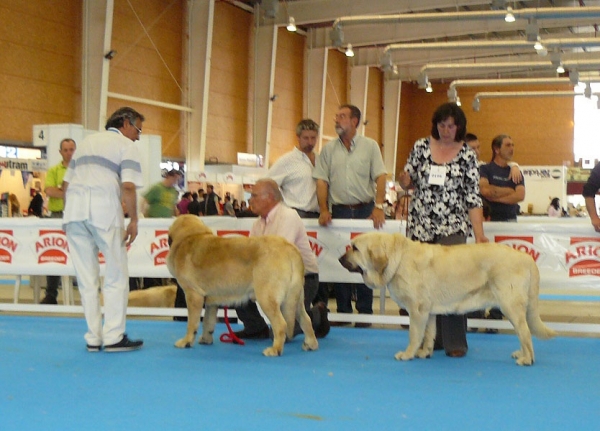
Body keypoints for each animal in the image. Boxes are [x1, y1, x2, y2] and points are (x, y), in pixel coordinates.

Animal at [164, 216, 318, 358]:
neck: (190, 237)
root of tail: (289, 248)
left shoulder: (193, 295)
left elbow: (192, 322)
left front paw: (187, 341)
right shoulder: (211, 302)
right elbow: (208, 322)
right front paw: (205, 339)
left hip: (267, 298)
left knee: (281, 324)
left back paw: (275, 350)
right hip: (295, 299)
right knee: (306, 319)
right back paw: (310, 344)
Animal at [340, 233, 556, 368]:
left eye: (355, 248)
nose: (340, 258)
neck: (398, 259)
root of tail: (527, 258)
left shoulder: (417, 311)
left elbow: (414, 335)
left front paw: (408, 354)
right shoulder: (428, 312)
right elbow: (428, 334)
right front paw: (425, 352)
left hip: (510, 305)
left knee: (525, 333)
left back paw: (527, 359)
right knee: (522, 333)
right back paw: (521, 354)